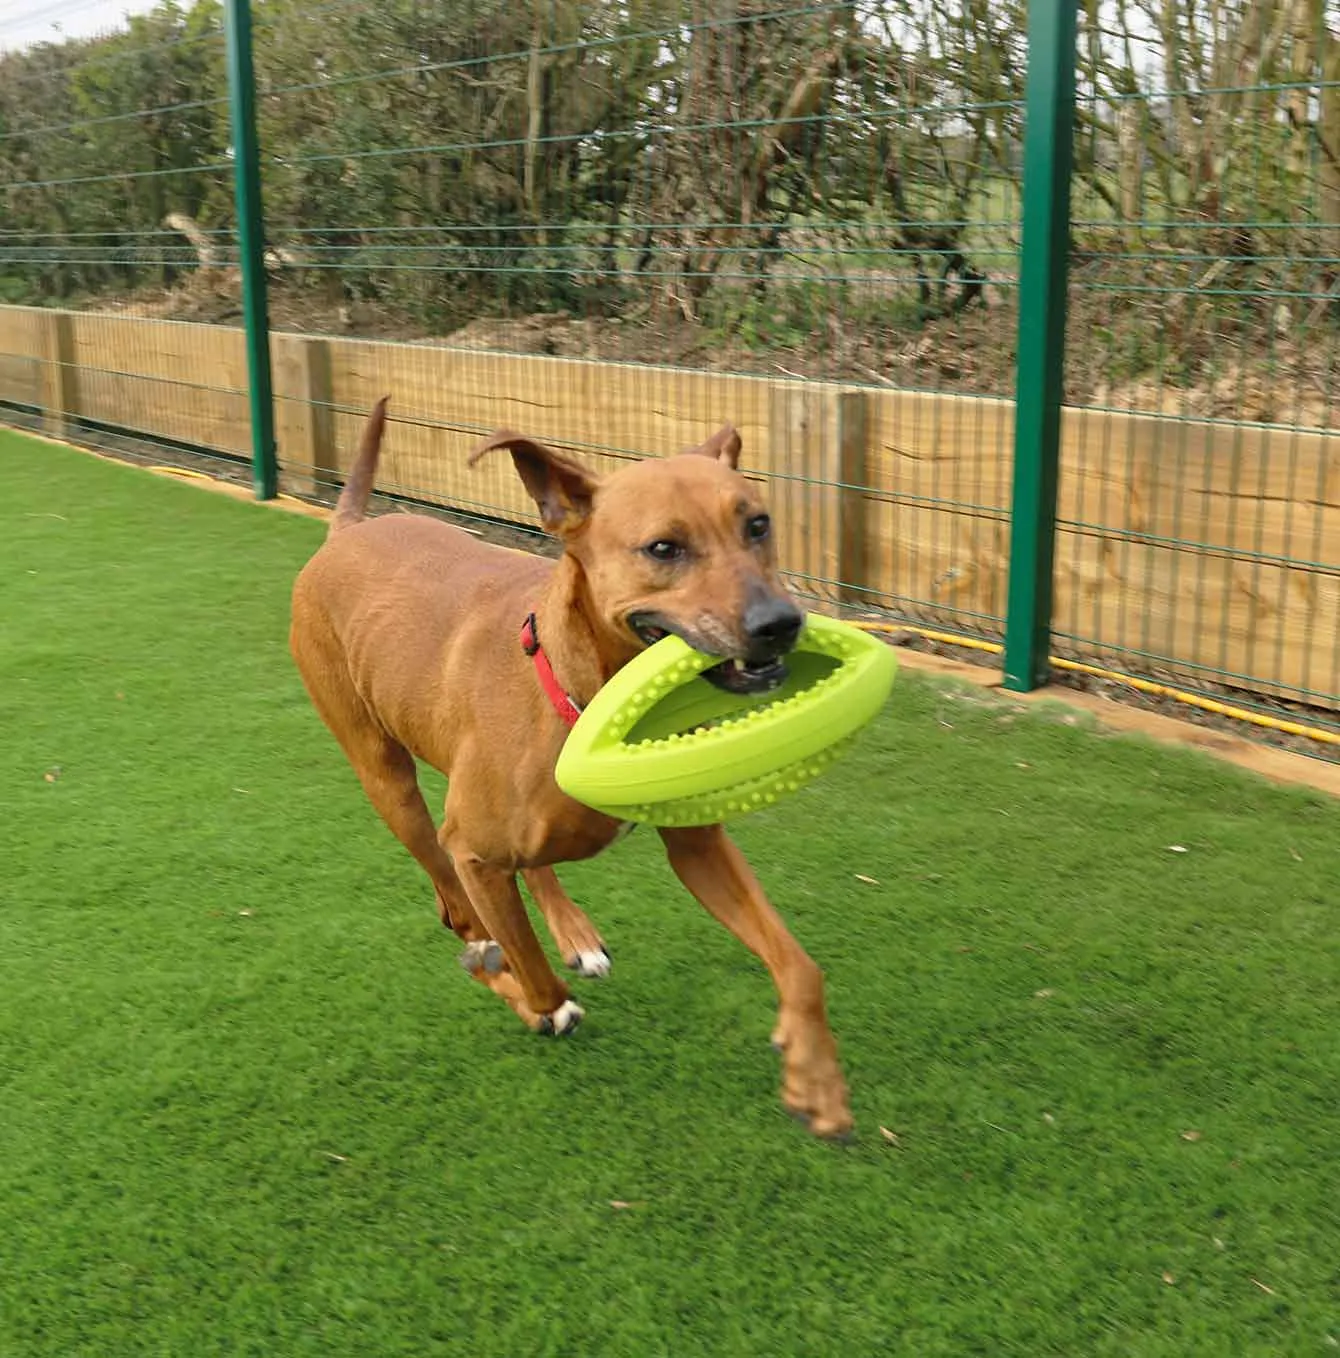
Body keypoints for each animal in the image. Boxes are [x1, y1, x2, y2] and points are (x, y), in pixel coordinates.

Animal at [291, 399, 852, 1135]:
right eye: (663, 548)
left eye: (757, 524)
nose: (780, 623)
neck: (587, 696)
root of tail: (346, 531)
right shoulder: (473, 852)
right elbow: (534, 976)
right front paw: (523, 996)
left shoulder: (700, 847)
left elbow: (801, 966)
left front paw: (815, 1078)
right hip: (387, 780)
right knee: (449, 889)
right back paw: (483, 937)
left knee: (527, 870)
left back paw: (570, 928)